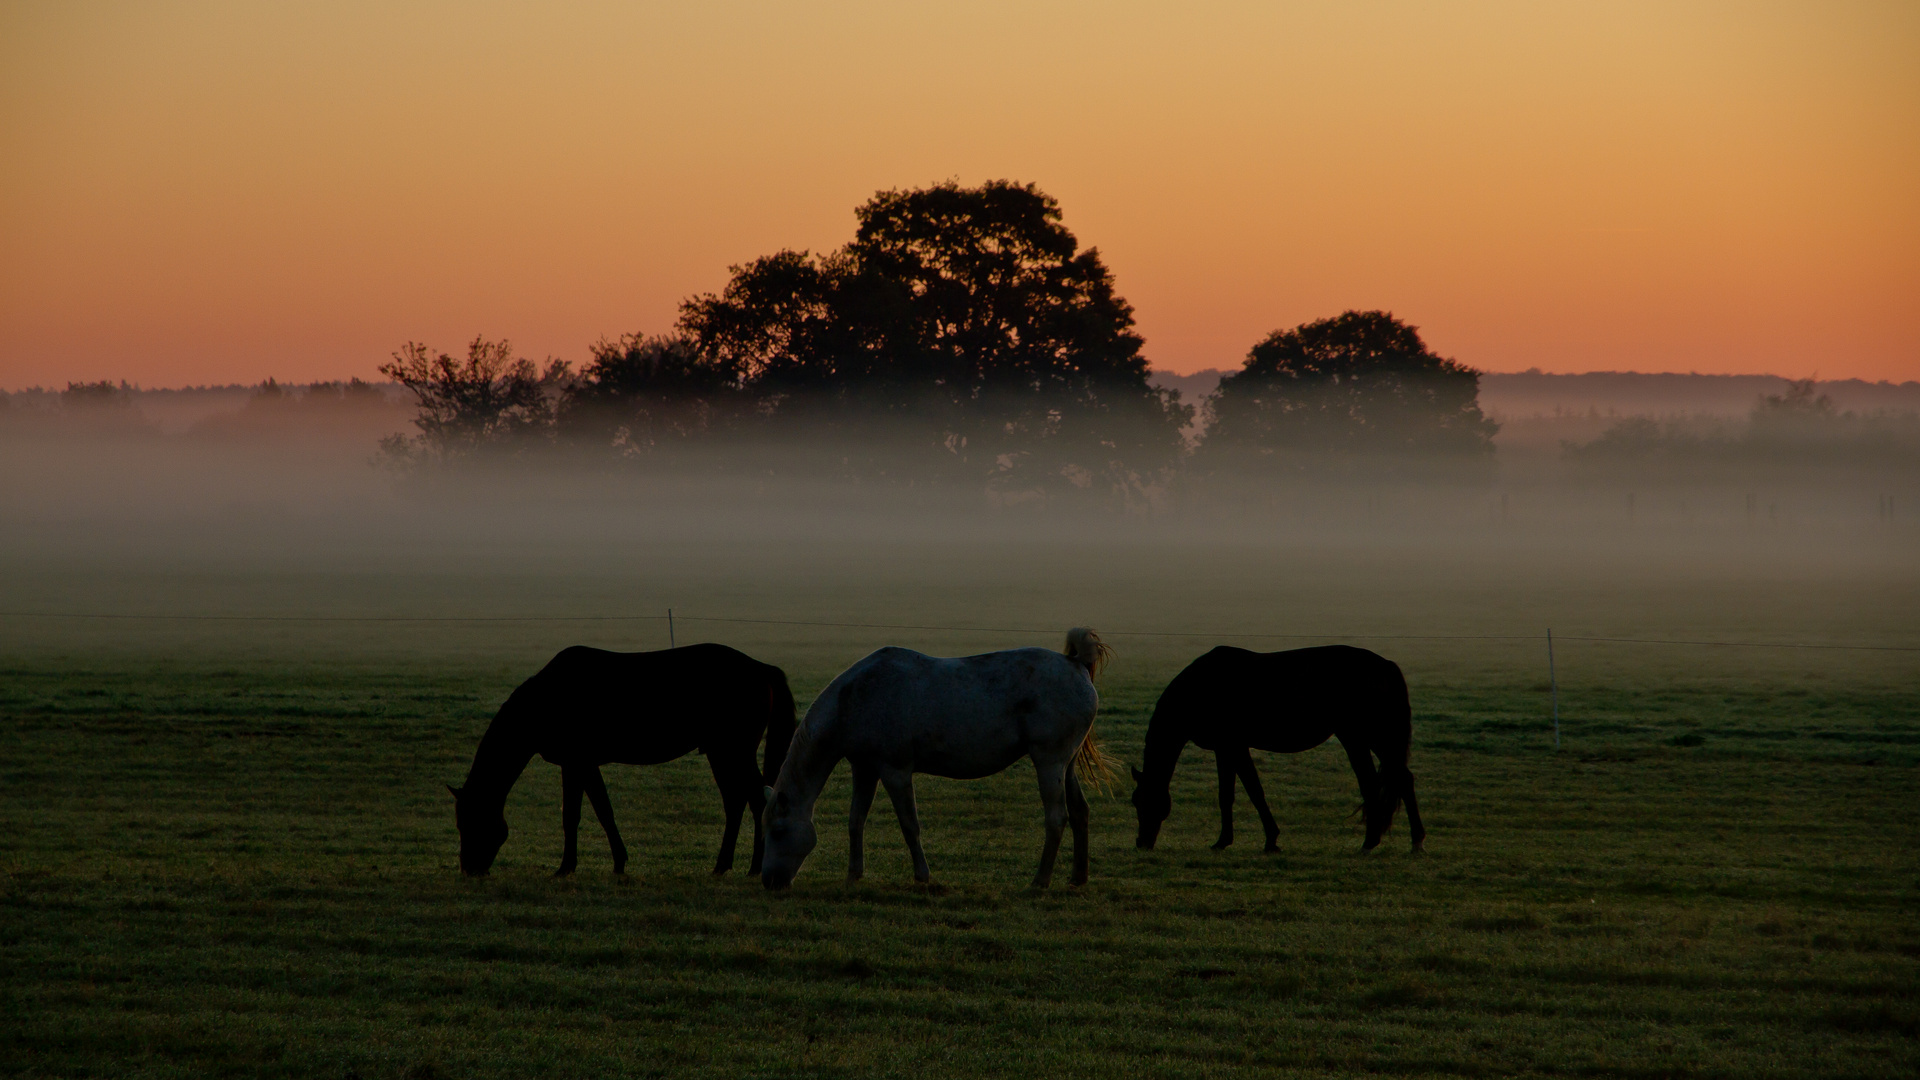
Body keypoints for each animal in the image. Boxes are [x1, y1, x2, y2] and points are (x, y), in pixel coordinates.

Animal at [449, 641, 794, 868]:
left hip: (735, 752)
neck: (546, 699)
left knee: (757, 801)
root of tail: (760, 668)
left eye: (470, 820)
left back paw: (754, 868)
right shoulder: (582, 765)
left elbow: (576, 814)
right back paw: (723, 866)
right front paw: (615, 861)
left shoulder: (576, 763)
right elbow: (599, 810)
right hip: (722, 753)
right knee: (736, 803)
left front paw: (567, 867)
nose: (469, 869)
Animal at [752, 626, 1113, 887]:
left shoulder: (895, 771)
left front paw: (922, 875)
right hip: (1065, 765)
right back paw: (1078, 878)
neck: (855, 698)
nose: (770, 881)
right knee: (1080, 813)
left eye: (778, 832)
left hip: (1049, 762)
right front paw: (854, 873)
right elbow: (856, 821)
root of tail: (1076, 664)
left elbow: (909, 824)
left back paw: (1040, 880)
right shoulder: (865, 769)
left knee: (1056, 818)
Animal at [1121, 641, 1428, 853]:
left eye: (1144, 800)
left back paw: (1391, 841)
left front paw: (1262, 840)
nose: (1141, 842)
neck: (1201, 687)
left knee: (1386, 780)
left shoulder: (1232, 746)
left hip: (1364, 736)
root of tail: (1386, 666)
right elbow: (1235, 793)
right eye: (1135, 801)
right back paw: (1393, 840)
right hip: (1366, 738)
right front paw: (1234, 840)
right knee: (1391, 780)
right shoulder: (1227, 749)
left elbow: (1249, 792)